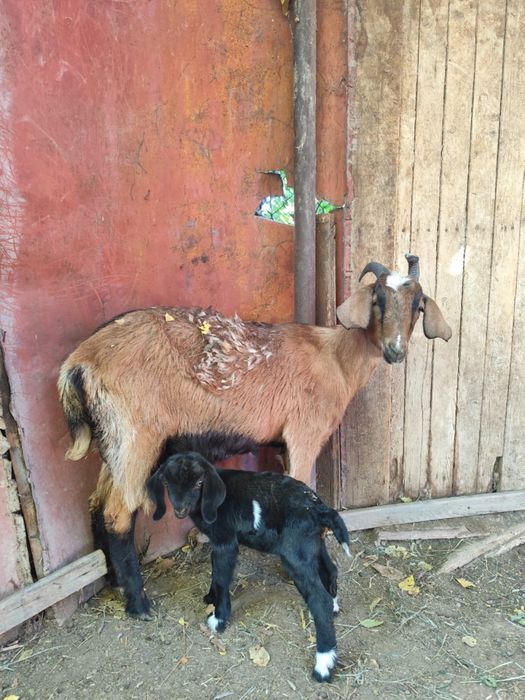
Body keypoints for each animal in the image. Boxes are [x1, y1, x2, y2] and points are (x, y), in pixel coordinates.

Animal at [58, 254, 451, 617]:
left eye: (418, 305)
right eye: (378, 300)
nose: (395, 350)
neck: (335, 360)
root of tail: (80, 361)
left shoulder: (282, 443)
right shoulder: (304, 433)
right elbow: (302, 487)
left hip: (112, 438)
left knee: (97, 505)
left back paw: (114, 583)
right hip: (137, 434)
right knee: (118, 513)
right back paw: (138, 603)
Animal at [147, 451, 351, 682]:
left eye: (199, 482)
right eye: (166, 482)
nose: (180, 510)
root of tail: (318, 508)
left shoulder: (225, 541)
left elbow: (222, 577)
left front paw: (219, 619)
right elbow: (215, 572)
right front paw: (210, 597)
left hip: (295, 554)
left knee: (319, 599)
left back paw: (323, 665)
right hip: (313, 544)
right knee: (330, 570)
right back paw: (333, 609)